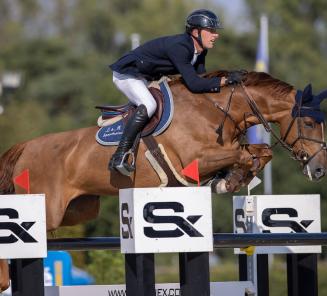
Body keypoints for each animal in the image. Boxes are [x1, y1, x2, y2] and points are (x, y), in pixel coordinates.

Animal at [0, 71, 327, 292]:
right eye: (309, 122)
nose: (320, 169)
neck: (218, 109)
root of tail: (25, 147)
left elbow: (259, 152)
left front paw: (232, 179)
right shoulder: (195, 159)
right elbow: (243, 154)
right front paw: (230, 178)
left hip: (78, 210)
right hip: (47, 208)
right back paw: (3, 280)